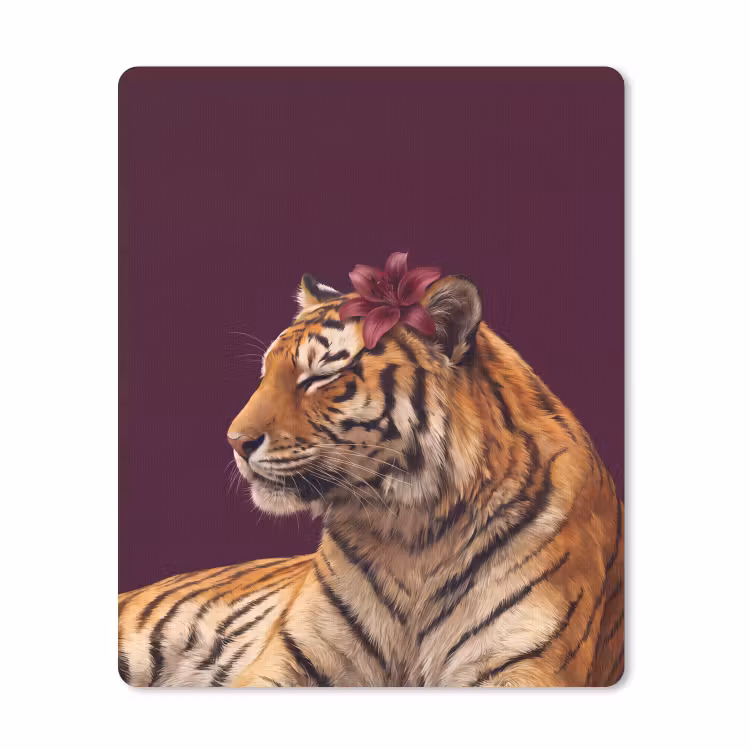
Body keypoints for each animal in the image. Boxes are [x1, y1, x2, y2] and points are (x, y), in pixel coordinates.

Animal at [118, 272, 623, 687]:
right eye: (265, 374)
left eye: (319, 377)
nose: (234, 441)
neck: (414, 533)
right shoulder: (294, 655)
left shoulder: (522, 663)